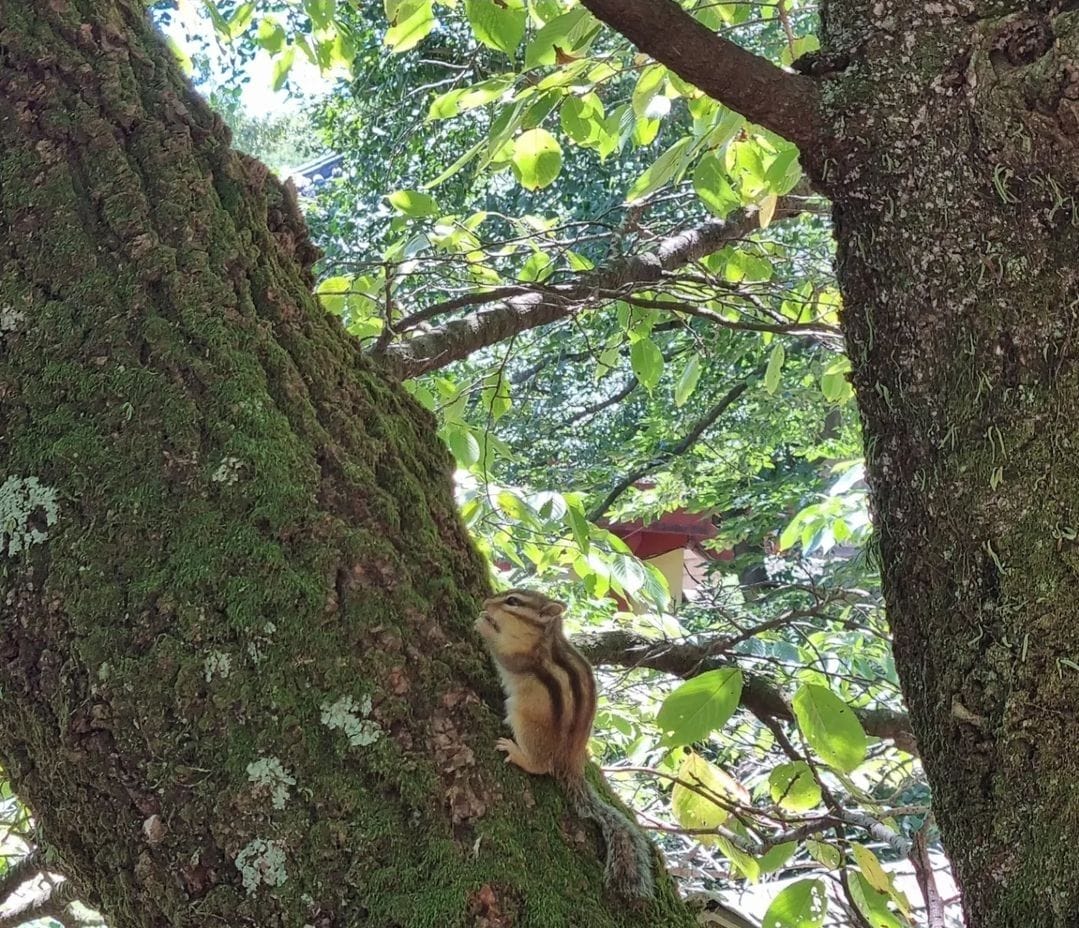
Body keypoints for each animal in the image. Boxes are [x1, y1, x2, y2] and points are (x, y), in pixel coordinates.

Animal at [475, 588, 656, 901]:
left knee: (542, 766)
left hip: (524, 721)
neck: (545, 638)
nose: (486, 602)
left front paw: (484, 623)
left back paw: (517, 752)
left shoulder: (521, 656)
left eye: (513, 602)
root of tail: (571, 761)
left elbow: (503, 655)